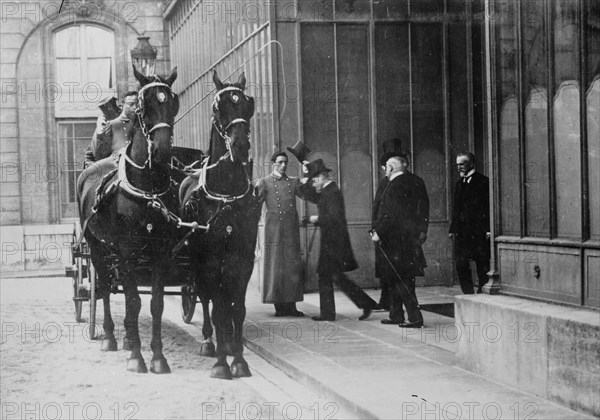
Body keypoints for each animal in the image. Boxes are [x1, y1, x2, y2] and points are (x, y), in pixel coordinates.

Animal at [77, 65, 180, 374]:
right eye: (144, 107)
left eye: (172, 102)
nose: (161, 151)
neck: (147, 188)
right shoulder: (126, 249)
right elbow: (133, 300)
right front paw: (136, 357)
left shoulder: (160, 250)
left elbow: (155, 302)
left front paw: (157, 357)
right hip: (97, 246)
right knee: (105, 288)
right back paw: (110, 337)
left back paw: (126, 337)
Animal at [179, 70, 262, 378]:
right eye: (217, 107)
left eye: (248, 104)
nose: (240, 146)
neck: (225, 193)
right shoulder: (211, 260)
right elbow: (217, 309)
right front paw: (221, 363)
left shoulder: (243, 259)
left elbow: (236, 310)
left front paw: (238, 359)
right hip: (198, 261)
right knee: (204, 298)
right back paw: (208, 342)